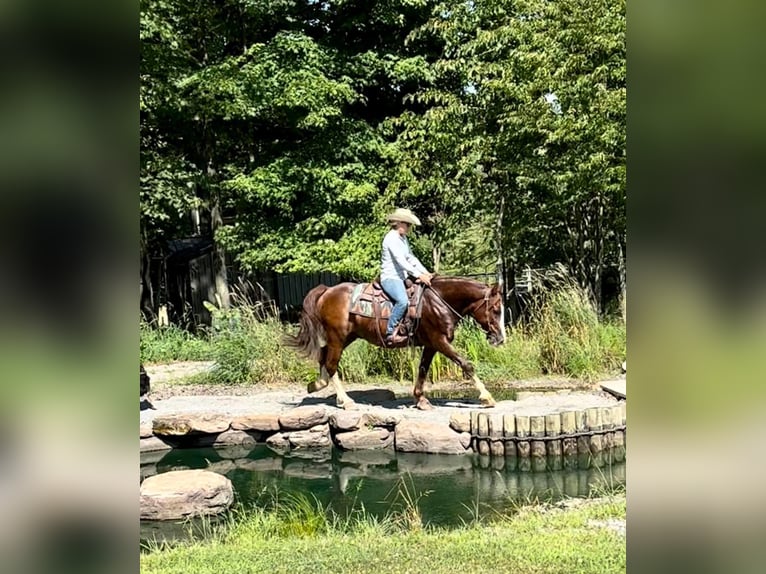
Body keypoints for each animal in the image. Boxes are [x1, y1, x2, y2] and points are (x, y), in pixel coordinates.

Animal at [284, 276, 508, 412]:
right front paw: (487, 397)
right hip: (337, 337)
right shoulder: (440, 341)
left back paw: (316, 385)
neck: (439, 302)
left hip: (347, 337)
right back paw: (346, 401)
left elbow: (423, 370)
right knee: (331, 363)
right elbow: (466, 364)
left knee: (323, 355)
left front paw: (420, 400)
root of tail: (326, 291)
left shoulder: (431, 345)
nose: (500, 339)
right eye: (496, 309)